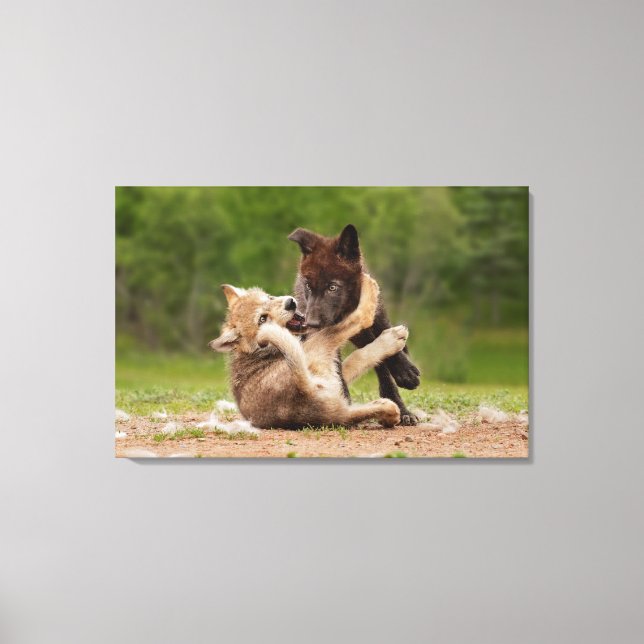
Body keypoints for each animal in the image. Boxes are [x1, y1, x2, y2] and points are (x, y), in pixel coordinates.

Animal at [208, 273, 409, 429]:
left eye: (269, 298)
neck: (261, 351)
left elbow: (355, 360)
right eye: (262, 319)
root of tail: (303, 389)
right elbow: (360, 350)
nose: (290, 303)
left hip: (338, 403)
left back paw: (388, 410)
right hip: (320, 345)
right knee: (359, 319)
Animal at [288, 224, 421, 425]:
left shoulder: (374, 319)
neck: (346, 311)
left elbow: (387, 345)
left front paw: (405, 372)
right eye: (309, 287)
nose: (311, 323)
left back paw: (402, 407)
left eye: (332, 287)